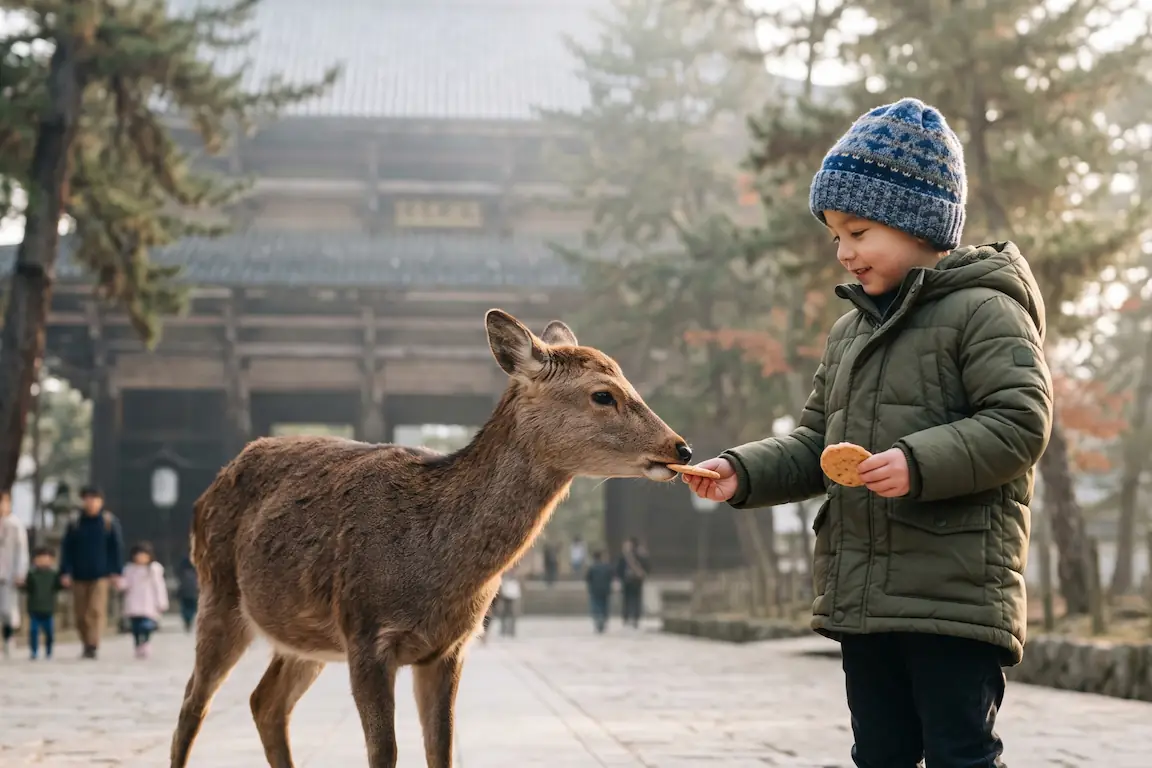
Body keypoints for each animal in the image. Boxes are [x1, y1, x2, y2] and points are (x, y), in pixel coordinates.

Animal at [169, 309, 694, 768]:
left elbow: (442, 749)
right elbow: (385, 752)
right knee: (192, 704)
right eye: (603, 394)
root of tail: (206, 493)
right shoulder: (366, 633)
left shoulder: (448, 648)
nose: (681, 447)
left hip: (305, 636)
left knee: (265, 702)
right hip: (219, 593)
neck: (432, 565)